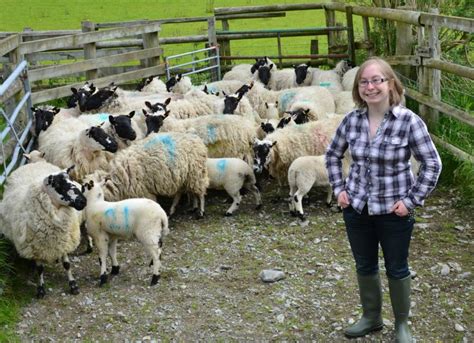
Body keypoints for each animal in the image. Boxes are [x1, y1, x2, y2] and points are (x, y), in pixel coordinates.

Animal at [0, 164, 87, 298]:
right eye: (57, 184)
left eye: (71, 179)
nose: (83, 201)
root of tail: (32, 164)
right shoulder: (36, 247)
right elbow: (40, 269)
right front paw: (40, 289)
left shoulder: (63, 242)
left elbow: (67, 265)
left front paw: (73, 285)